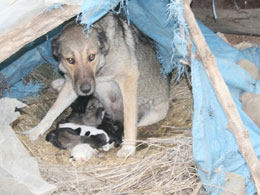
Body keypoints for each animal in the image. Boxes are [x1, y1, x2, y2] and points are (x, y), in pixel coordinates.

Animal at [25, 13, 170, 157]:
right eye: (70, 60)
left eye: (91, 57)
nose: (85, 90)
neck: (100, 69)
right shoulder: (73, 83)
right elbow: (53, 110)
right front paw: (36, 130)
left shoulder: (129, 78)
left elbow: (129, 119)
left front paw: (128, 147)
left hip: (151, 115)